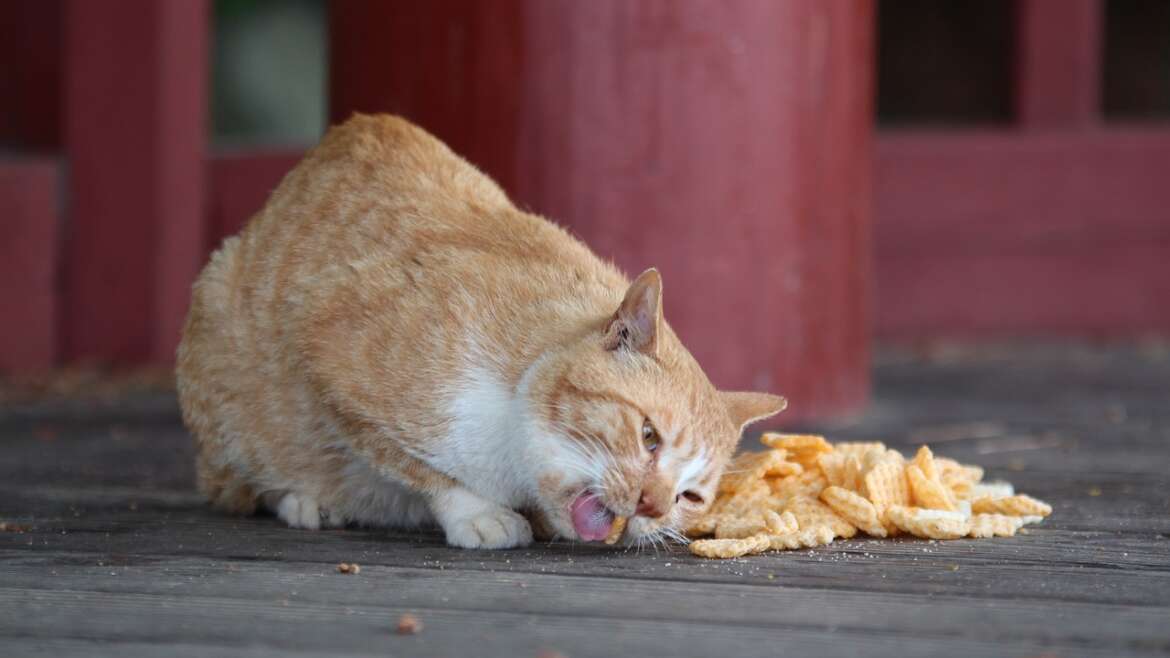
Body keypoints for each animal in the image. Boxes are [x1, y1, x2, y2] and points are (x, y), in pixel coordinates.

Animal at [177, 114, 786, 547]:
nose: (650, 506)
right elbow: (415, 463)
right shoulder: (325, 346)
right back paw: (305, 497)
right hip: (218, 324)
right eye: (649, 436)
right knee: (235, 480)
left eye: (690, 497)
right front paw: (477, 513)